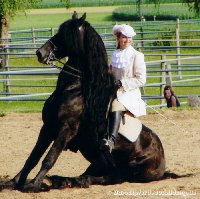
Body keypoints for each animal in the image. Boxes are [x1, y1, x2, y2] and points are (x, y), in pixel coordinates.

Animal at [9, 12, 165, 191]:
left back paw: (76, 181)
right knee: (97, 173)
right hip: (99, 160)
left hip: (127, 168)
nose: (40, 53)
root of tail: (162, 160)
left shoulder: (66, 129)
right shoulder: (48, 127)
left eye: (65, 35)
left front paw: (34, 185)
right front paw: (18, 181)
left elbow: (50, 158)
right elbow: (33, 157)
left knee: (113, 178)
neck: (73, 89)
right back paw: (63, 180)